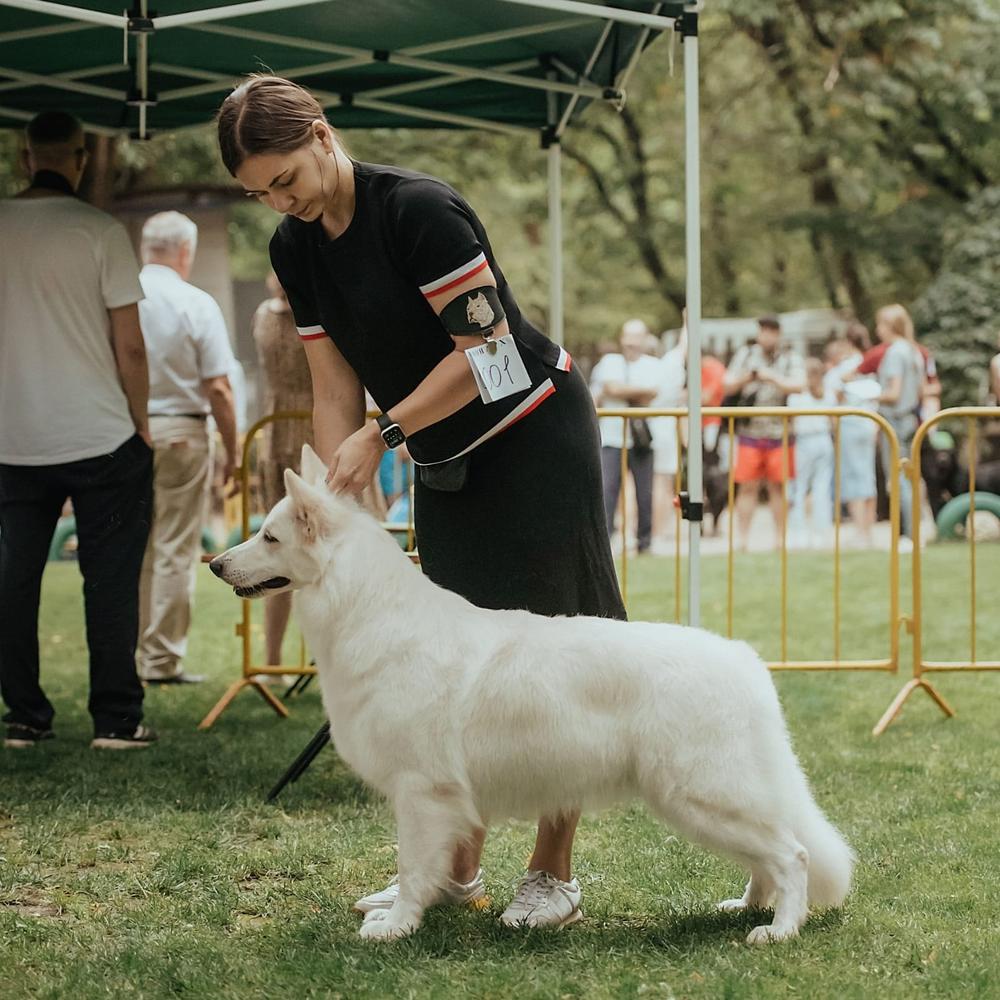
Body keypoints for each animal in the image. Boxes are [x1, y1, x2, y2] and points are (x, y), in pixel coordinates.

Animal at [211, 446, 852, 944]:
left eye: (269, 536)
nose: (215, 564)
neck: (368, 611)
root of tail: (746, 662)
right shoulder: (441, 802)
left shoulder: (422, 792)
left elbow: (413, 867)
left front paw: (397, 926)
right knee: (773, 854)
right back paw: (747, 907)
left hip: (700, 796)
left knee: (792, 855)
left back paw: (779, 929)